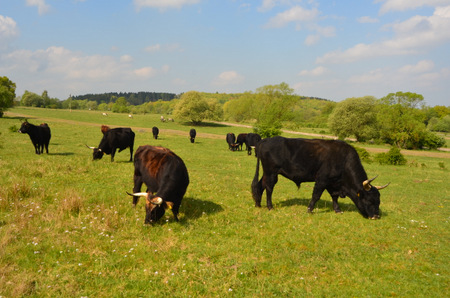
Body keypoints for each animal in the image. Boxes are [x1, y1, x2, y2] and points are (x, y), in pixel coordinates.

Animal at [251, 137, 388, 219]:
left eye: (378, 201)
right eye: (369, 200)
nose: (376, 216)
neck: (343, 160)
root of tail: (266, 140)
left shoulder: (333, 183)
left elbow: (334, 197)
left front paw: (337, 210)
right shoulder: (322, 180)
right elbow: (316, 195)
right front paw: (309, 210)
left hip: (268, 173)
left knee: (260, 185)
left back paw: (258, 204)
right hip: (271, 173)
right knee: (269, 188)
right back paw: (270, 206)